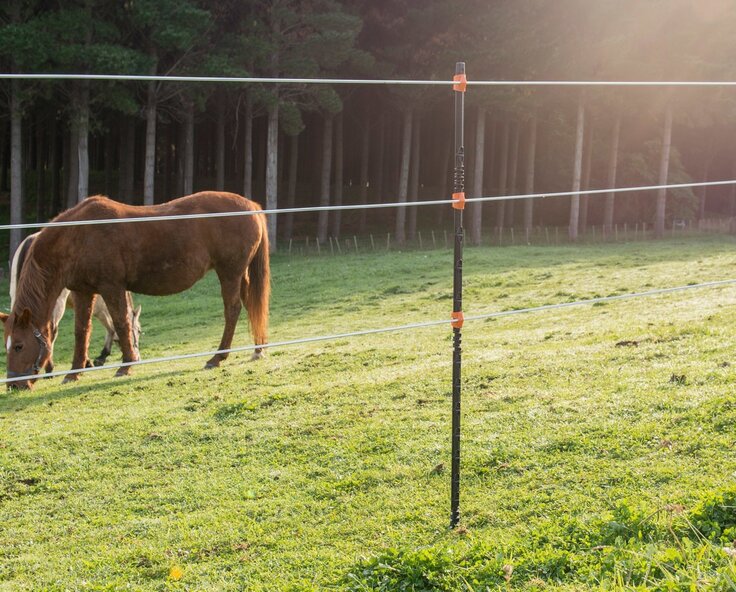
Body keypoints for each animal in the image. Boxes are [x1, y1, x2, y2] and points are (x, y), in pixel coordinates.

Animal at [10, 231, 142, 370]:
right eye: (139, 330)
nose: (137, 358)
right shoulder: (100, 308)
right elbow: (110, 327)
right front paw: (101, 356)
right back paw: (49, 367)